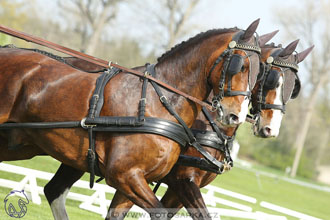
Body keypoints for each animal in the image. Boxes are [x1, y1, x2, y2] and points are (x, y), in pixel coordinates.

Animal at [1, 19, 262, 219]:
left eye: (259, 72)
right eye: (240, 65)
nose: (235, 115)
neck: (160, 100)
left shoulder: (137, 181)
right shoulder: (128, 175)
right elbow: (161, 213)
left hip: (23, 144)